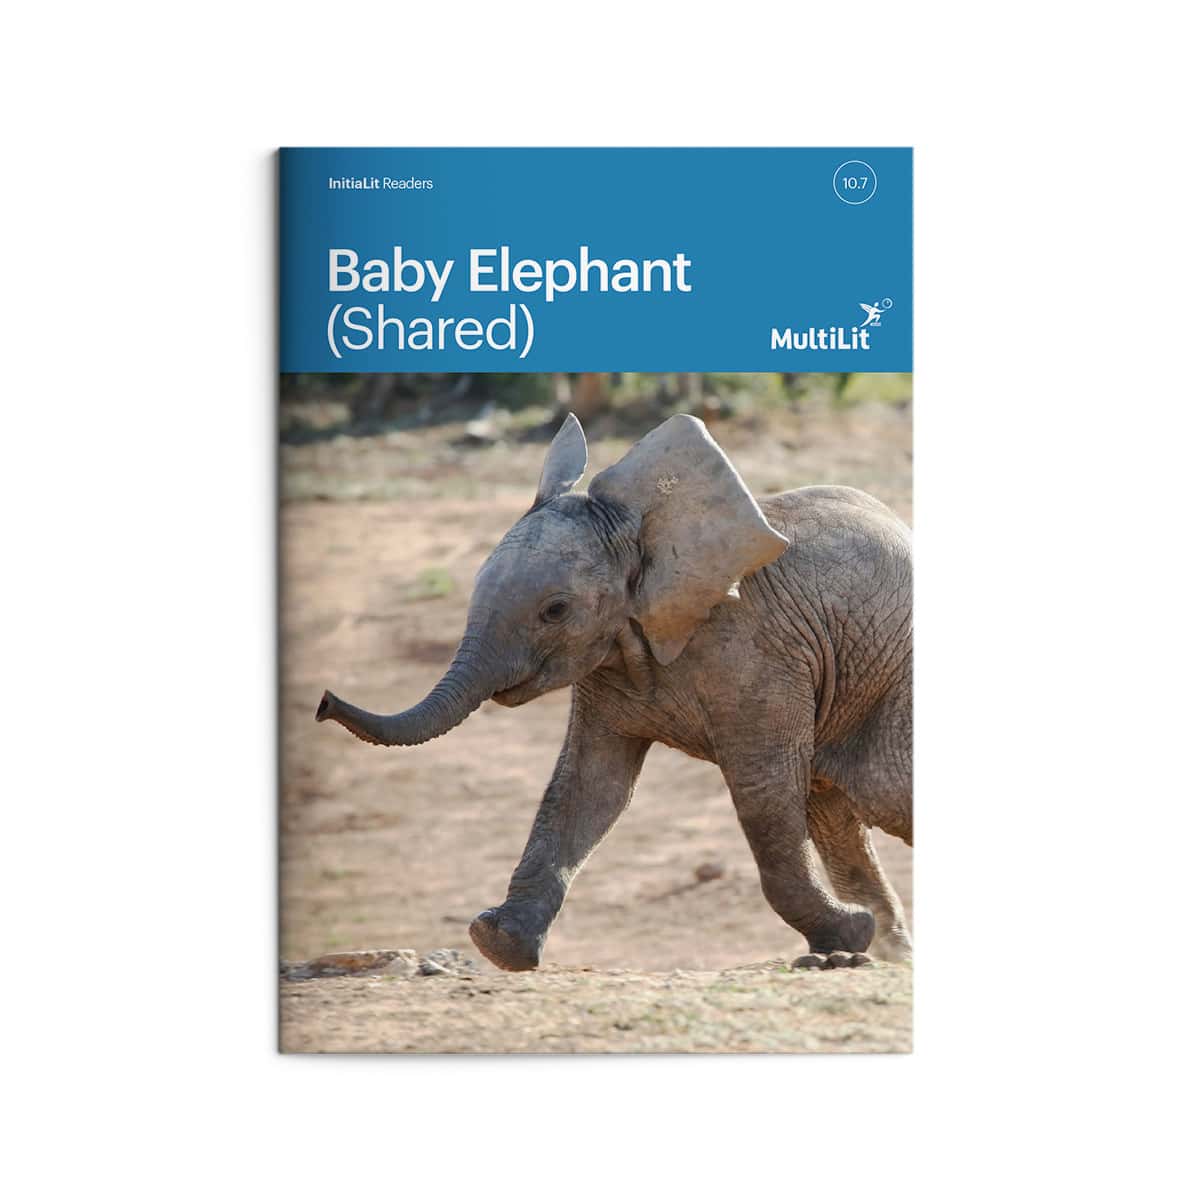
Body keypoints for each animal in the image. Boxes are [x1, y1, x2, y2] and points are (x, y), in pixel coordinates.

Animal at [316, 413, 913, 970]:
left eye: (555, 610)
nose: (323, 703)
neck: (644, 531)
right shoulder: (610, 661)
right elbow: (589, 786)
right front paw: (497, 943)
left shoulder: (758, 653)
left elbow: (763, 790)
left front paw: (849, 934)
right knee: (835, 811)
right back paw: (894, 953)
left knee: (880, 794)